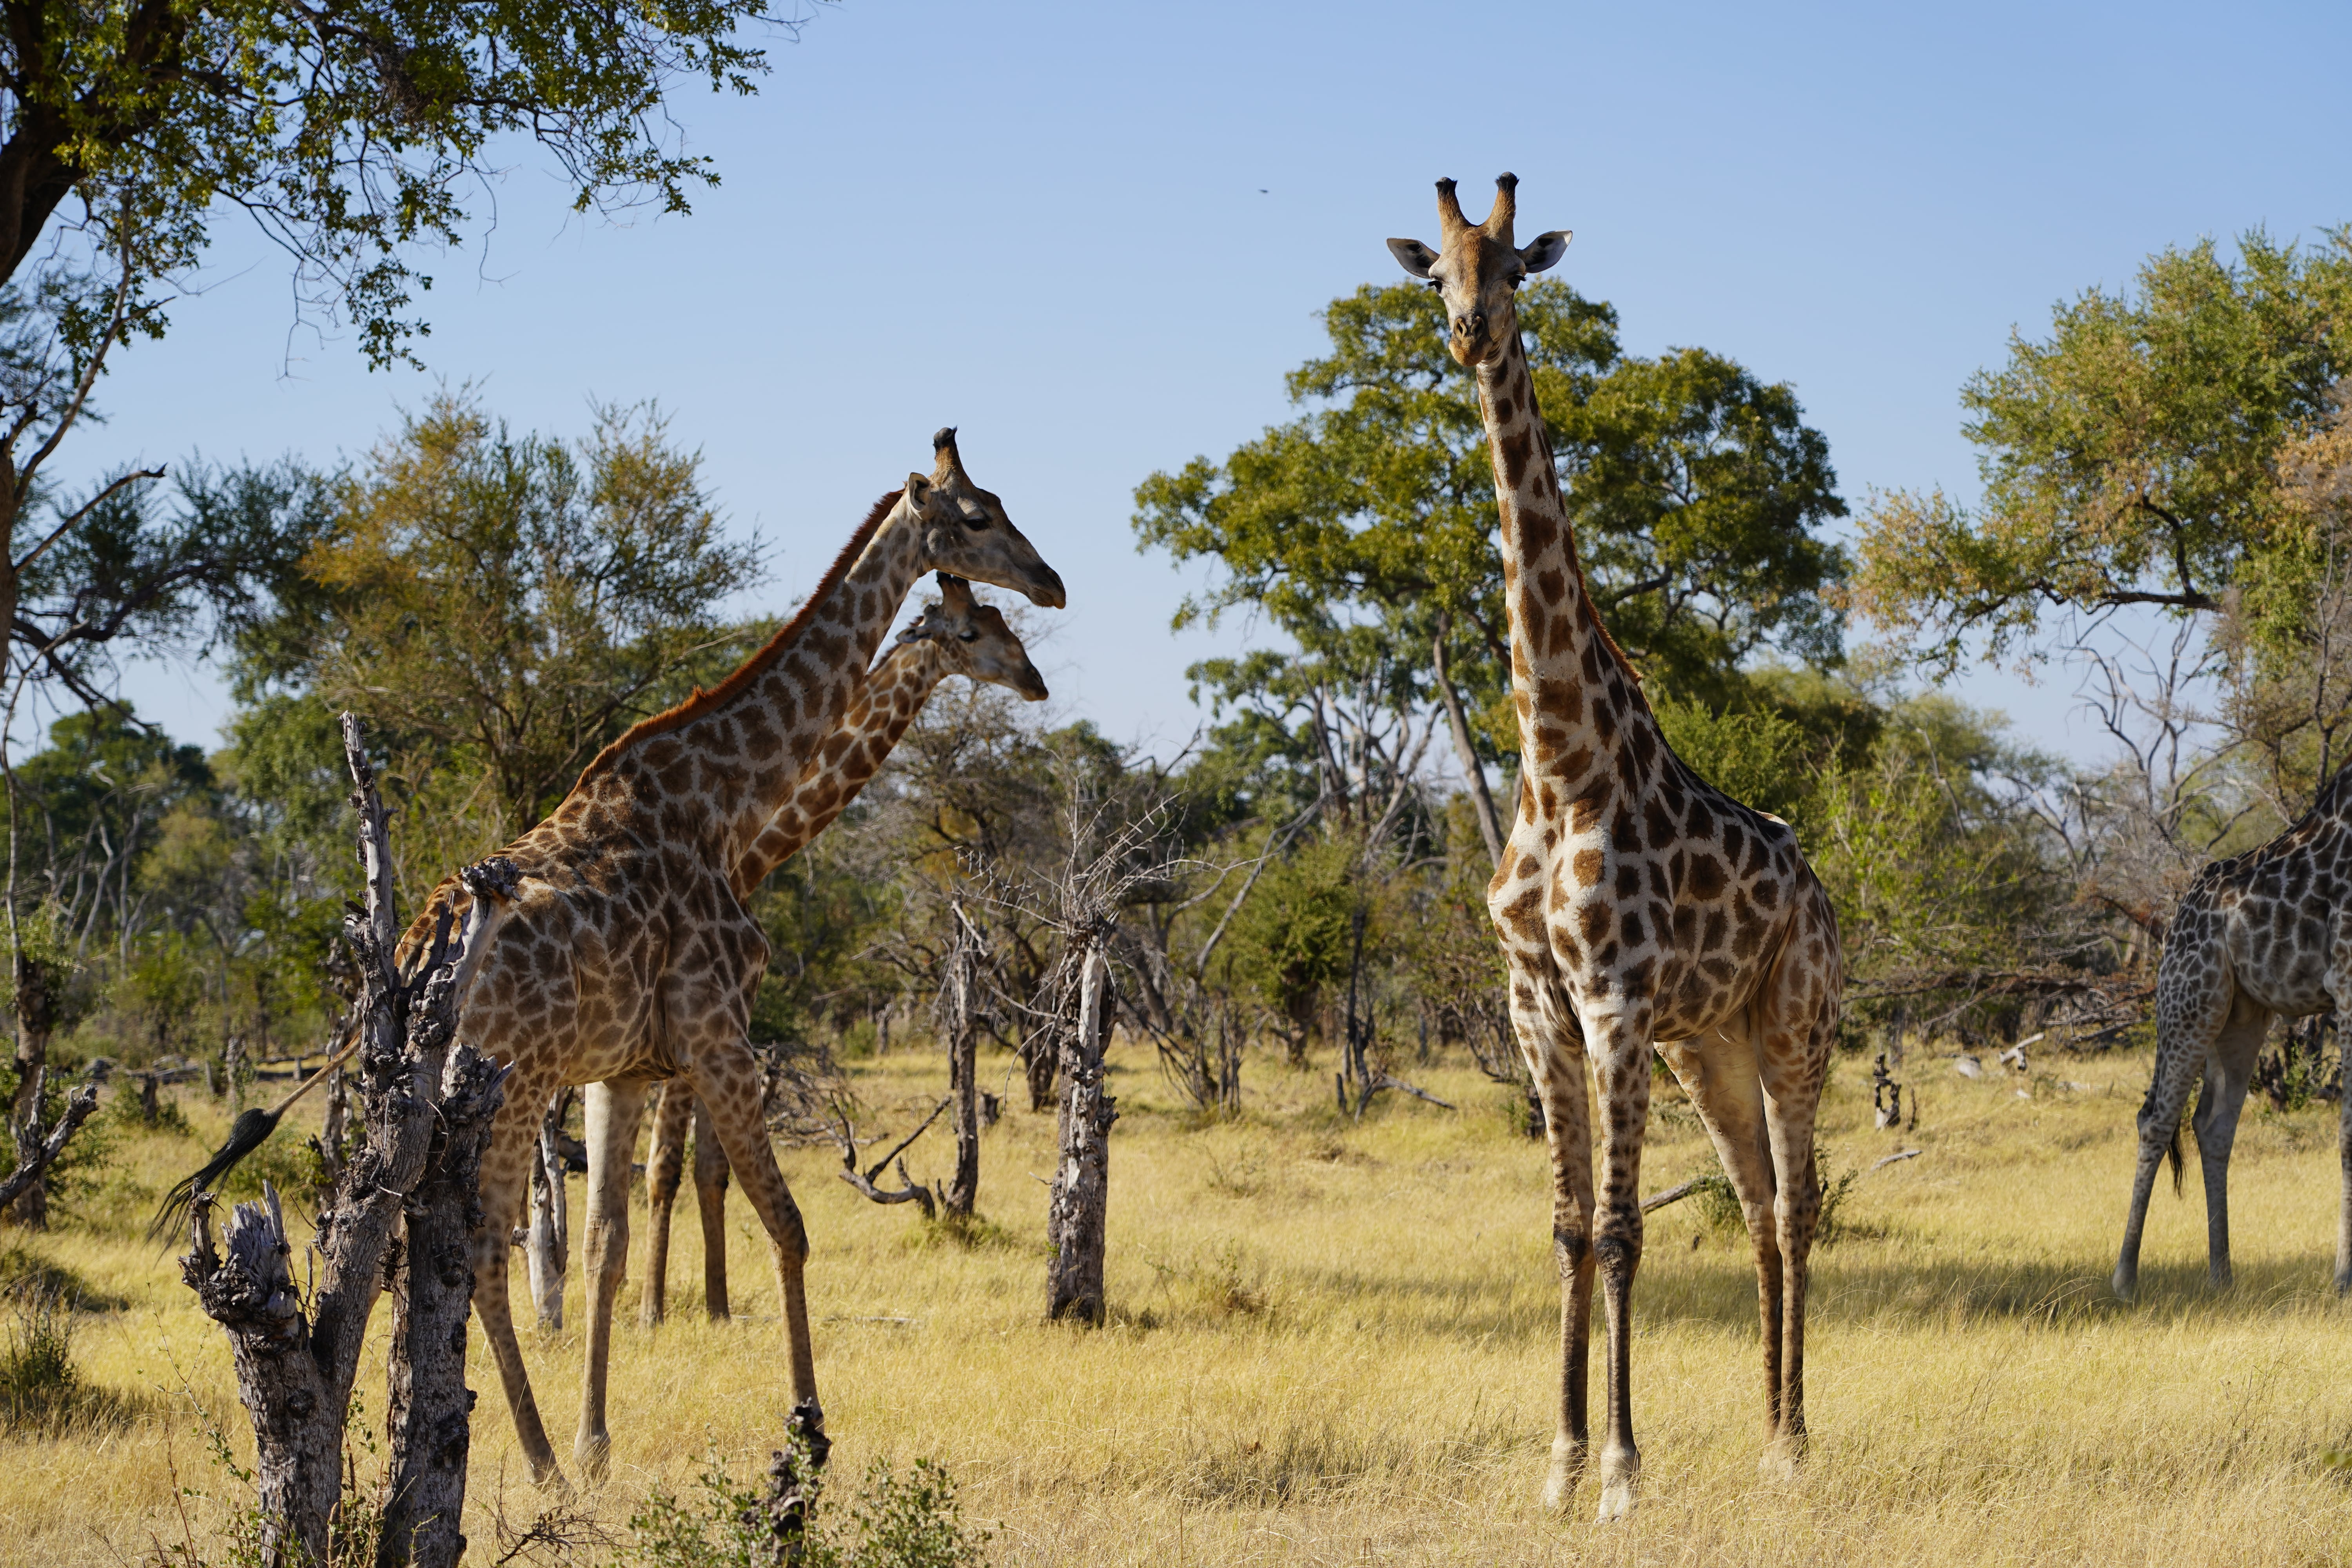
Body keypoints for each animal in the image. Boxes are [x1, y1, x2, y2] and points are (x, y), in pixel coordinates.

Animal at [635, 573, 1048, 1325]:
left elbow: (710, 1167)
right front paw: (653, 1309)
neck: (749, 851)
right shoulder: (695, 1026)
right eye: (970, 631)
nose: (1035, 680)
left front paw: (716, 1306)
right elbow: (666, 1165)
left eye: (1007, 620)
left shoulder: (725, 1020)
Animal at [1388, 175, 1844, 1522]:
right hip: (1711, 1045)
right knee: (1754, 1205)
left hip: (1793, 1024)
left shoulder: (1614, 998)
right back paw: (1765, 1430)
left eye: (1515, 272)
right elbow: (1569, 1226)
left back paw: (1797, 1443)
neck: (1557, 762)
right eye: (1434, 274)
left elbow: (1628, 1226)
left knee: (1800, 1206)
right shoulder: (1536, 999)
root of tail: (1822, 896)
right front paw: (1559, 1462)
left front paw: (1625, 1475)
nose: (1470, 336)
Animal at [2114, 761, 2352, 1302]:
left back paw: (2222, 1275)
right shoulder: (2348, 978)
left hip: (2243, 1016)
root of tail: (2179, 912)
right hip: (2191, 996)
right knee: (2156, 1118)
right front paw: (2344, 1281)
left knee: (2213, 1123)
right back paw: (2124, 1278)